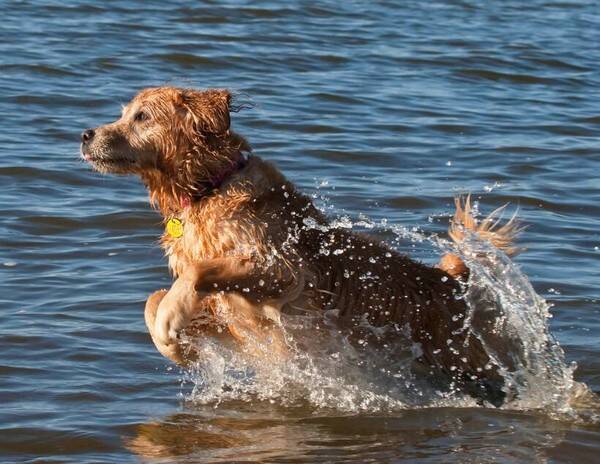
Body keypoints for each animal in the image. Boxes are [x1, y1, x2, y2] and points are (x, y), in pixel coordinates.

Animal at [81, 87, 520, 406]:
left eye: (141, 116)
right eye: (124, 113)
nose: (85, 135)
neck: (210, 187)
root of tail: (450, 281)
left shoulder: (281, 270)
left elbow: (195, 272)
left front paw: (172, 321)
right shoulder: (229, 312)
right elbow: (153, 300)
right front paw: (175, 345)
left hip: (466, 361)